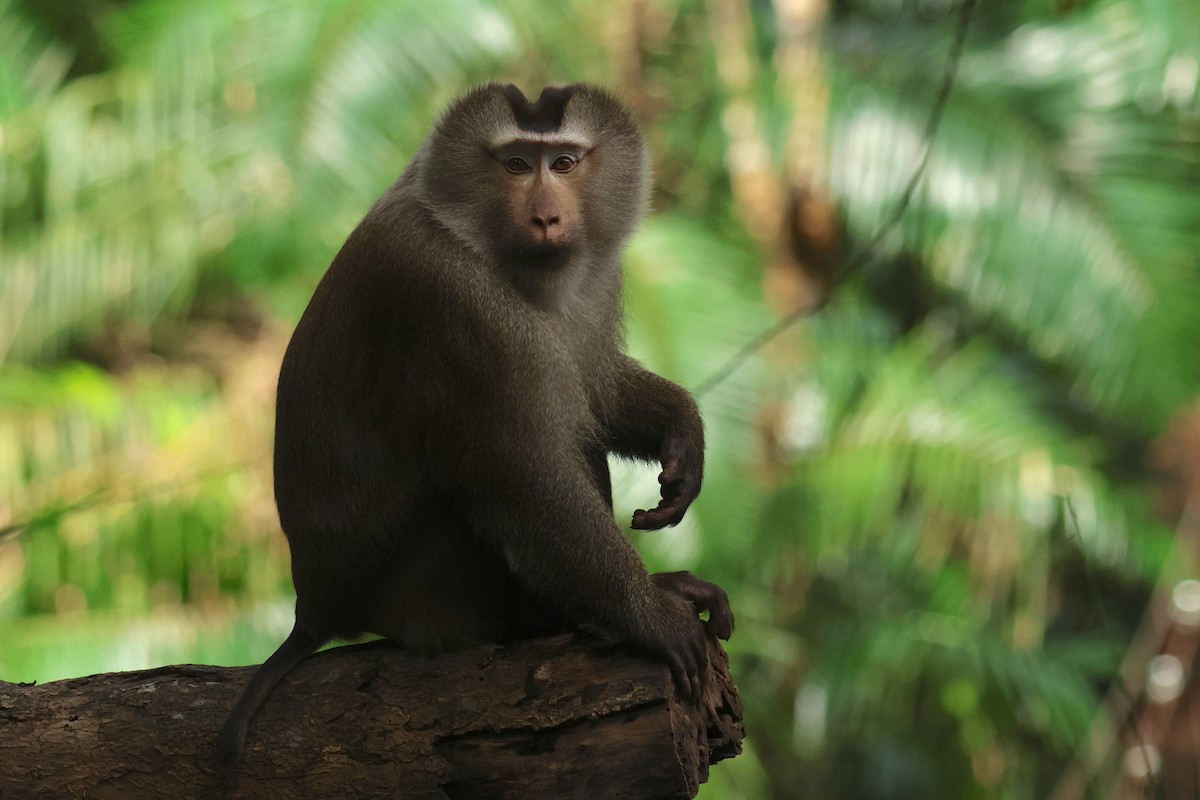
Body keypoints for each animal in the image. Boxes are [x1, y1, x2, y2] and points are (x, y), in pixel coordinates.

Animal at [214, 83, 734, 767]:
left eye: (563, 163)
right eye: (515, 165)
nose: (546, 218)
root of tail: (316, 605)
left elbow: (593, 386)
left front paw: (681, 433)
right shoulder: (455, 305)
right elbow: (526, 481)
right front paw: (650, 614)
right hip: (431, 592)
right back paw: (570, 620)